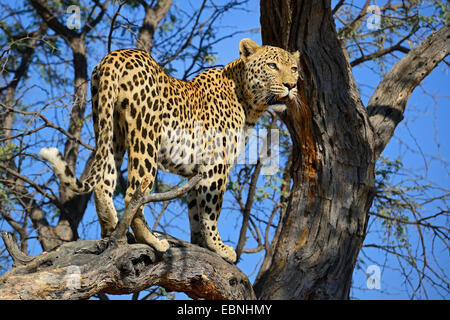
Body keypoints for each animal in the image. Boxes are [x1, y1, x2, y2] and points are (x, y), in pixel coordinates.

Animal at [39, 38, 298, 262]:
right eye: (272, 65)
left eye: (294, 68)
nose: (291, 86)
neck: (248, 101)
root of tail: (115, 55)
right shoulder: (215, 165)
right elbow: (211, 210)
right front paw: (219, 247)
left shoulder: (198, 171)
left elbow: (195, 212)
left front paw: (200, 244)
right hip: (145, 137)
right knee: (133, 192)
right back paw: (152, 240)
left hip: (110, 130)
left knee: (104, 183)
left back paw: (112, 231)